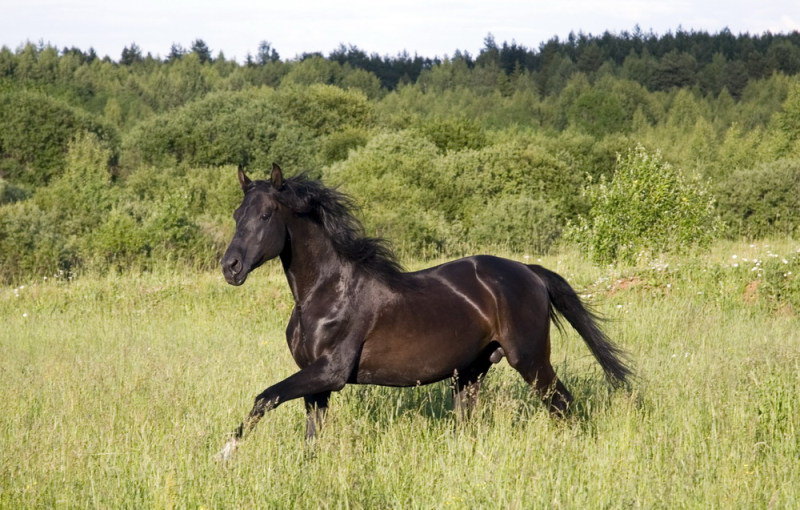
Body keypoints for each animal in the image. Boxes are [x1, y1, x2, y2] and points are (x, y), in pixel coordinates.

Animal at [217, 165, 632, 460]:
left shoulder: (330, 373)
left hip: (530, 359)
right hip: (471, 372)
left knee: (562, 404)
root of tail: (530, 272)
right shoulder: (315, 382)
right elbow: (310, 436)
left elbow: (265, 397)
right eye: (237, 213)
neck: (326, 293)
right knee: (470, 422)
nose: (231, 267)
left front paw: (226, 452)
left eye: (267, 214)